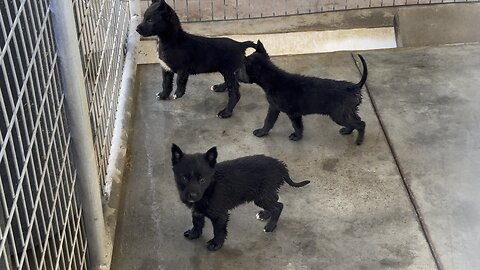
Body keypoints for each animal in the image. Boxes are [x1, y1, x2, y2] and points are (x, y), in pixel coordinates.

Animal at [171, 143, 310, 251]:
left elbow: (218, 231)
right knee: (275, 201)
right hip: (265, 193)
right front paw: (194, 233)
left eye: (202, 180)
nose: (192, 196)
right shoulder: (197, 211)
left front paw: (216, 244)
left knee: (278, 206)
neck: (210, 188)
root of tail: (280, 166)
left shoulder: (220, 215)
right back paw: (265, 214)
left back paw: (270, 226)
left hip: (261, 195)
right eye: (184, 178)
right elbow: (197, 222)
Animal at [236, 40, 368, 144]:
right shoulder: (274, 107)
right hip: (348, 112)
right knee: (356, 121)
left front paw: (297, 137)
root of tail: (354, 87)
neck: (272, 79)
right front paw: (262, 132)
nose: (234, 73)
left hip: (339, 115)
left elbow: (297, 126)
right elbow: (268, 121)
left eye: (242, 68)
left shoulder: (292, 113)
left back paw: (359, 141)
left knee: (361, 124)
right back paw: (347, 131)